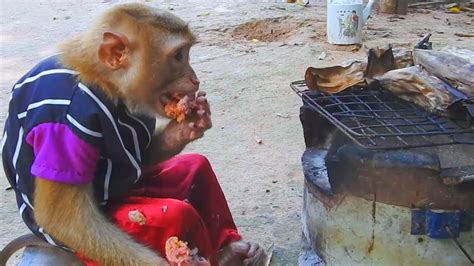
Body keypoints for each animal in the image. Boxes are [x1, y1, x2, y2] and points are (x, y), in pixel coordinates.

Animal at [0, 2, 266, 266]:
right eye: (179, 55)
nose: (195, 79)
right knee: (173, 214)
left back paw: (230, 252)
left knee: (195, 166)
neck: (101, 81)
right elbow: (63, 220)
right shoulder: (63, 124)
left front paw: (187, 125)